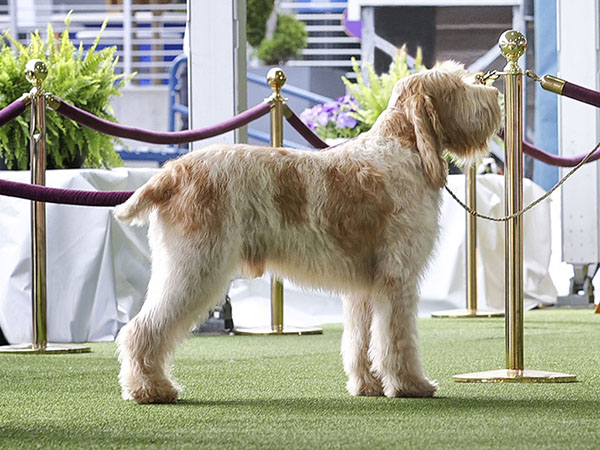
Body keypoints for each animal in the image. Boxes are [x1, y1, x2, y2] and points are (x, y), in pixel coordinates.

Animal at [113, 61, 502, 402]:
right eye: (459, 86)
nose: (495, 93)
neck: (401, 146)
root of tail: (171, 172)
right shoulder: (397, 280)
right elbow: (396, 339)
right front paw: (409, 384)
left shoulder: (364, 288)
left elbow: (361, 340)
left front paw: (368, 385)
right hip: (195, 268)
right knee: (141, 329)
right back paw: (150, 389)